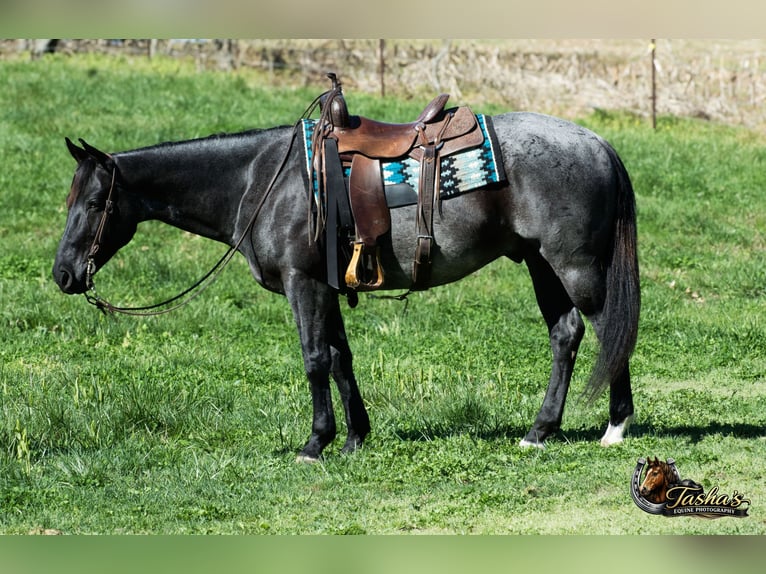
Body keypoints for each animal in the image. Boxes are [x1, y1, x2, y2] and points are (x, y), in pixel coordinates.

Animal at [52, 106, 640, 462]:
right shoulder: (327, 287)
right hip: (540, 263)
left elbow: (314, 358)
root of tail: (597, 144)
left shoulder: (304, 283)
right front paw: (356, 436)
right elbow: (340, 357)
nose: (64, 274)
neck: (262, 182)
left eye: (94, 202)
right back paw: (540, 431)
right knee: (565, 334)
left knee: (608, 330)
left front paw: (316, 442)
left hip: (574, 264)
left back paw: (615, 427)